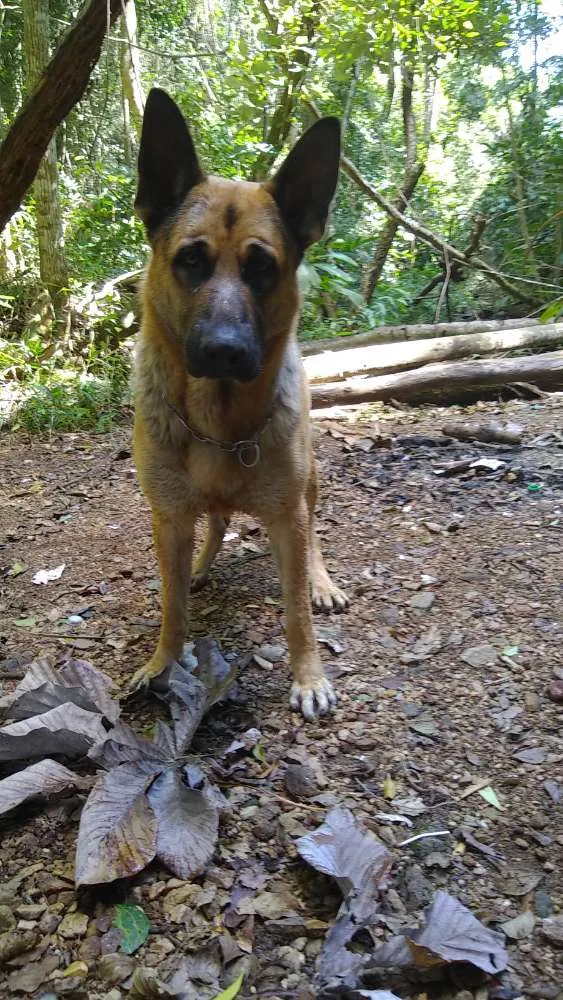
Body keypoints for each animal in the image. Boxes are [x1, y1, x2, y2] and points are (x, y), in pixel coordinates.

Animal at [131, 88, 348, 720]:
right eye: (190, 260)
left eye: (261, 267)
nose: (224, 351)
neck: (216, 423)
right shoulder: (168, 518)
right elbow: (172, 605)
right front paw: (162, 662)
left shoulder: (285, 517)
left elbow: (296, 611)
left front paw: (308, 675)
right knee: (217, 522)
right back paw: (203, 566)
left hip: (308, 482)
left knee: (311, 532)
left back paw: (321, 580)